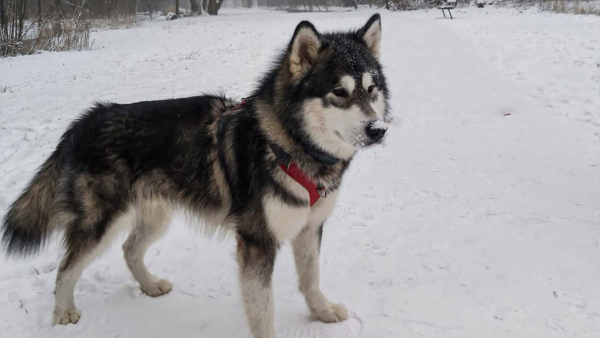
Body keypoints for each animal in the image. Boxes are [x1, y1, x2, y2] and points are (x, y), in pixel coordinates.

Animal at [1, 15, 390, 338]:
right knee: (66, 268)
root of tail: (82, 123)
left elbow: (311, 277)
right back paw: (63, 312)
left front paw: (321, 311)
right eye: (339, 92)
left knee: (129, 250)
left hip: (155, 216)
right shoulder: (257, 241)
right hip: (100, 222)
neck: (288, 144)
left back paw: (149, 285)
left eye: (371, 90)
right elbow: (263, 309)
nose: (378, 130)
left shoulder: (309, 226)